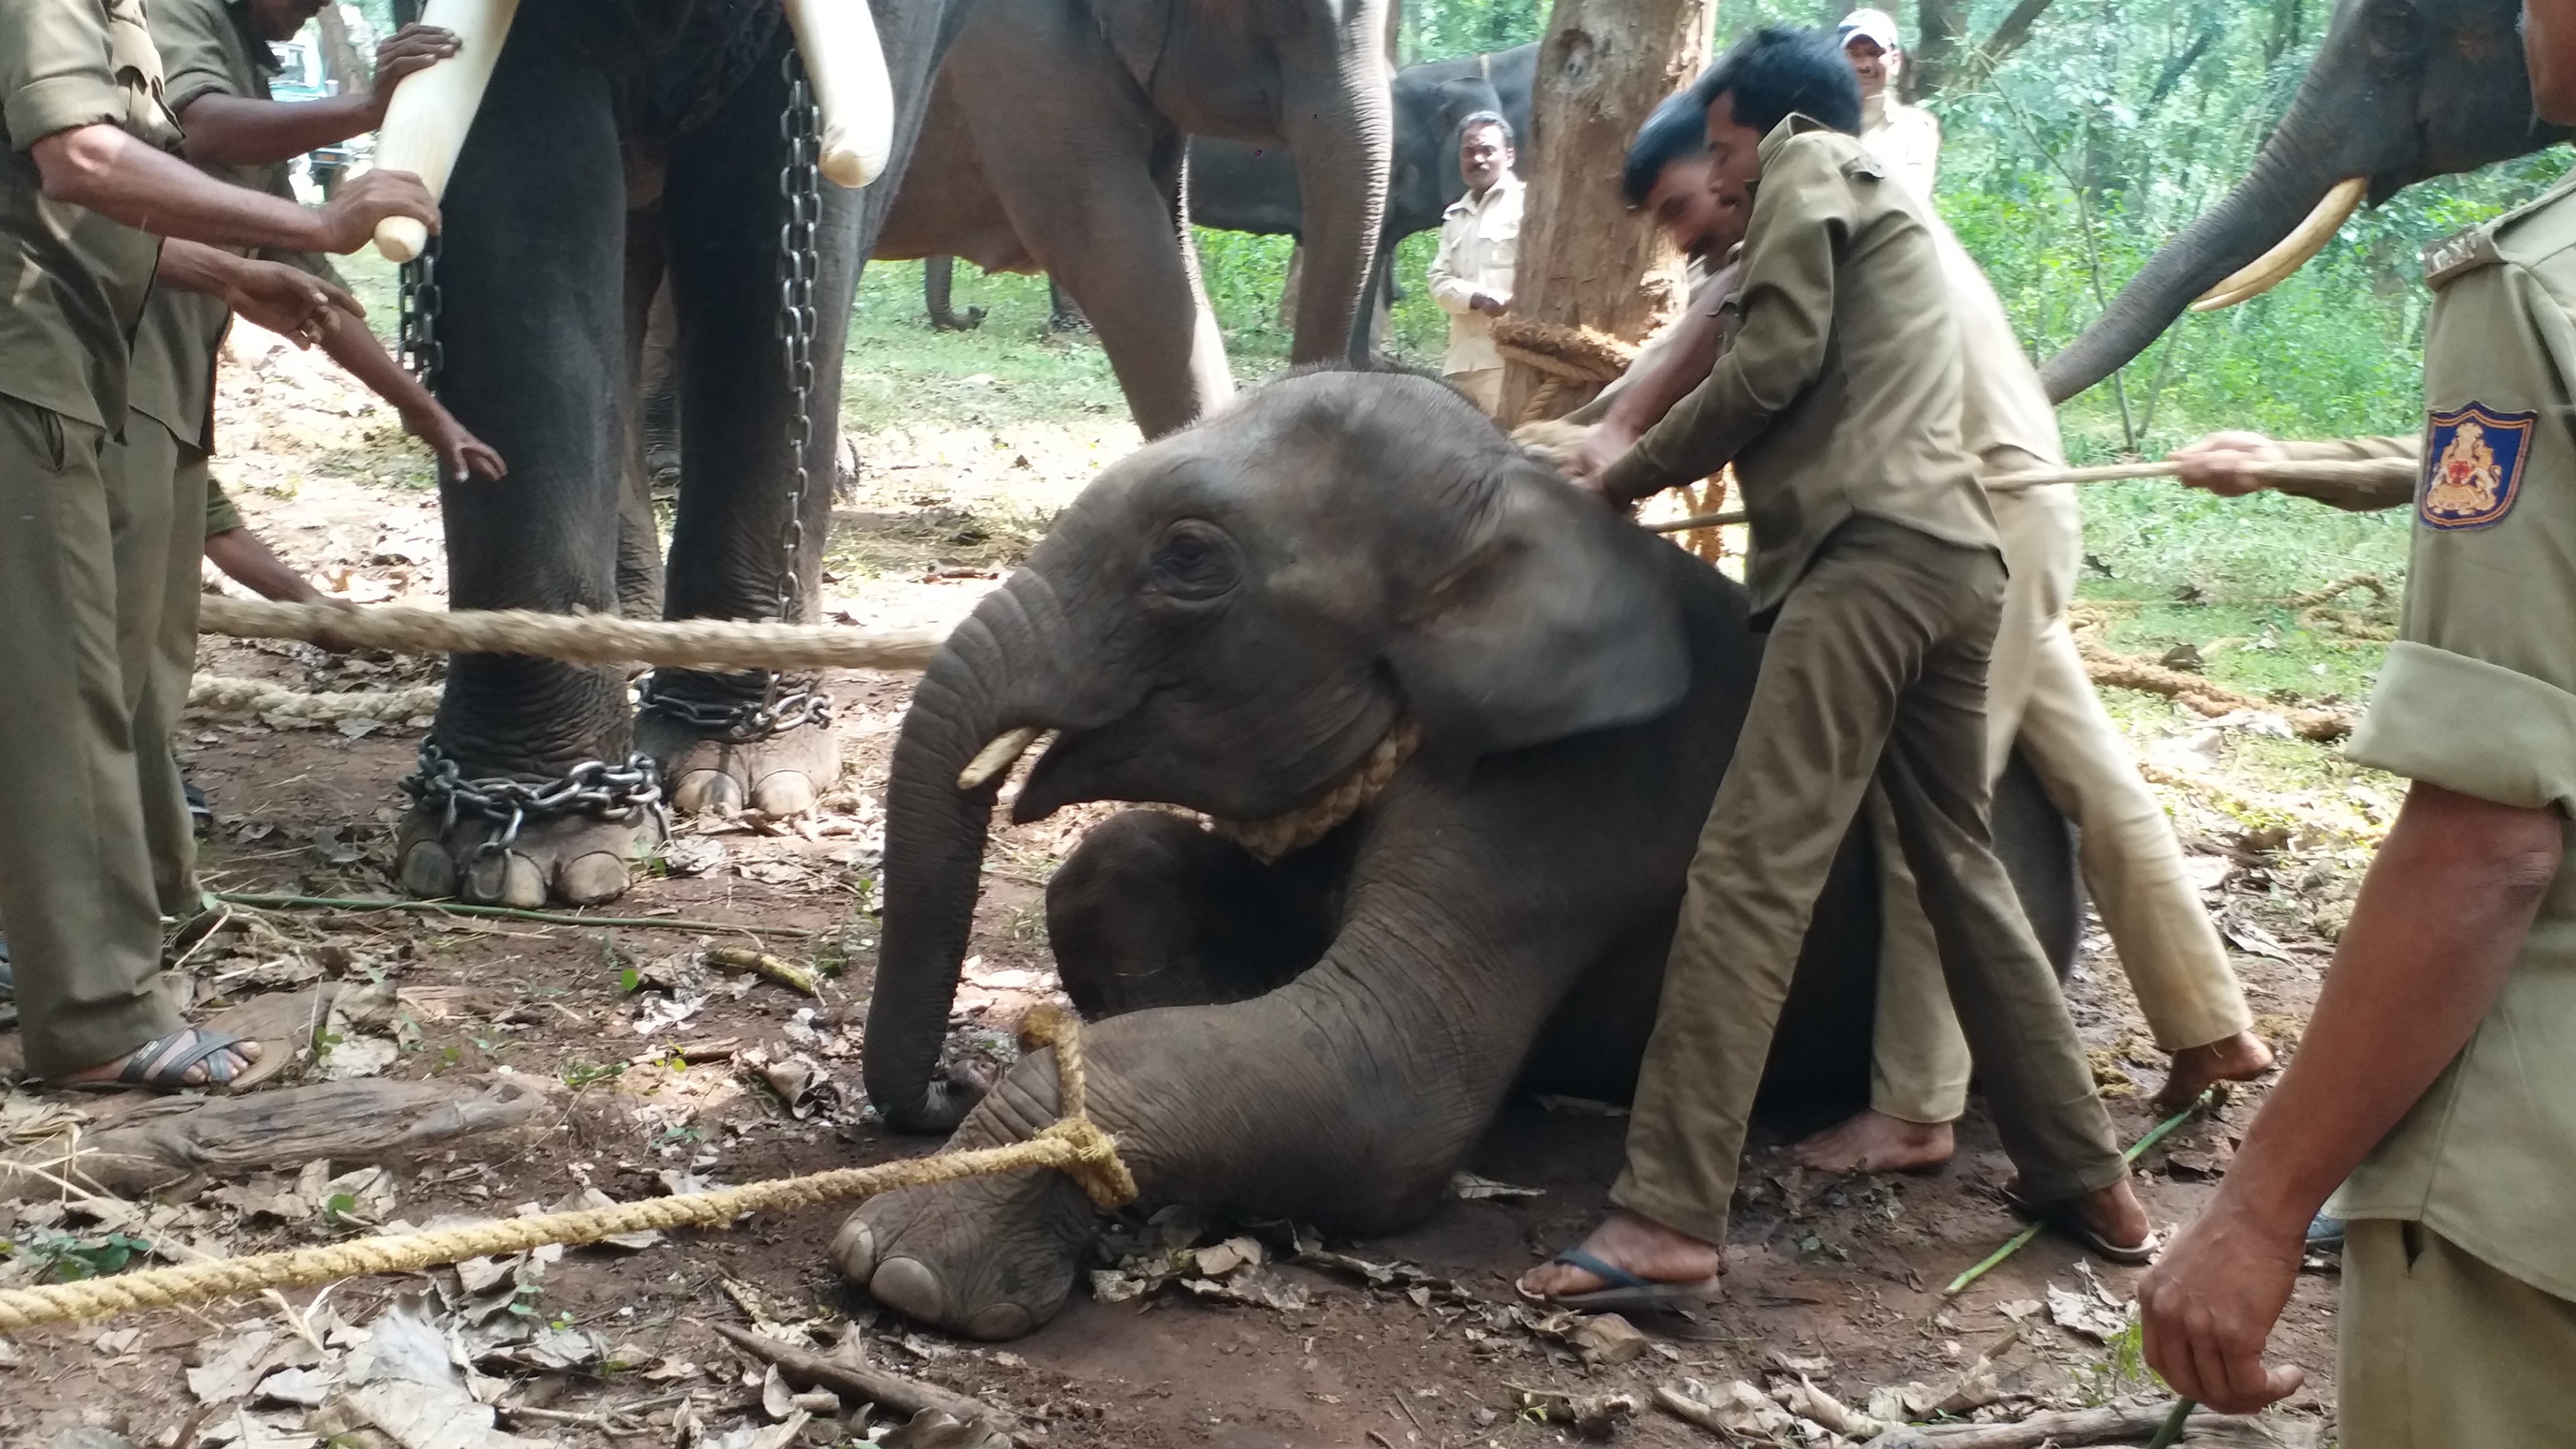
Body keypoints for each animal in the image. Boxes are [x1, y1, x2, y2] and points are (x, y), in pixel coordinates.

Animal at [834, 366, 2081, 1341]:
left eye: (1187, 556)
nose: (943, 1089)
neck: (1520, 510)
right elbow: (1130, 869)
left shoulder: (1564, 798)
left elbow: (1391, 1087)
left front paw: (898, 1261)